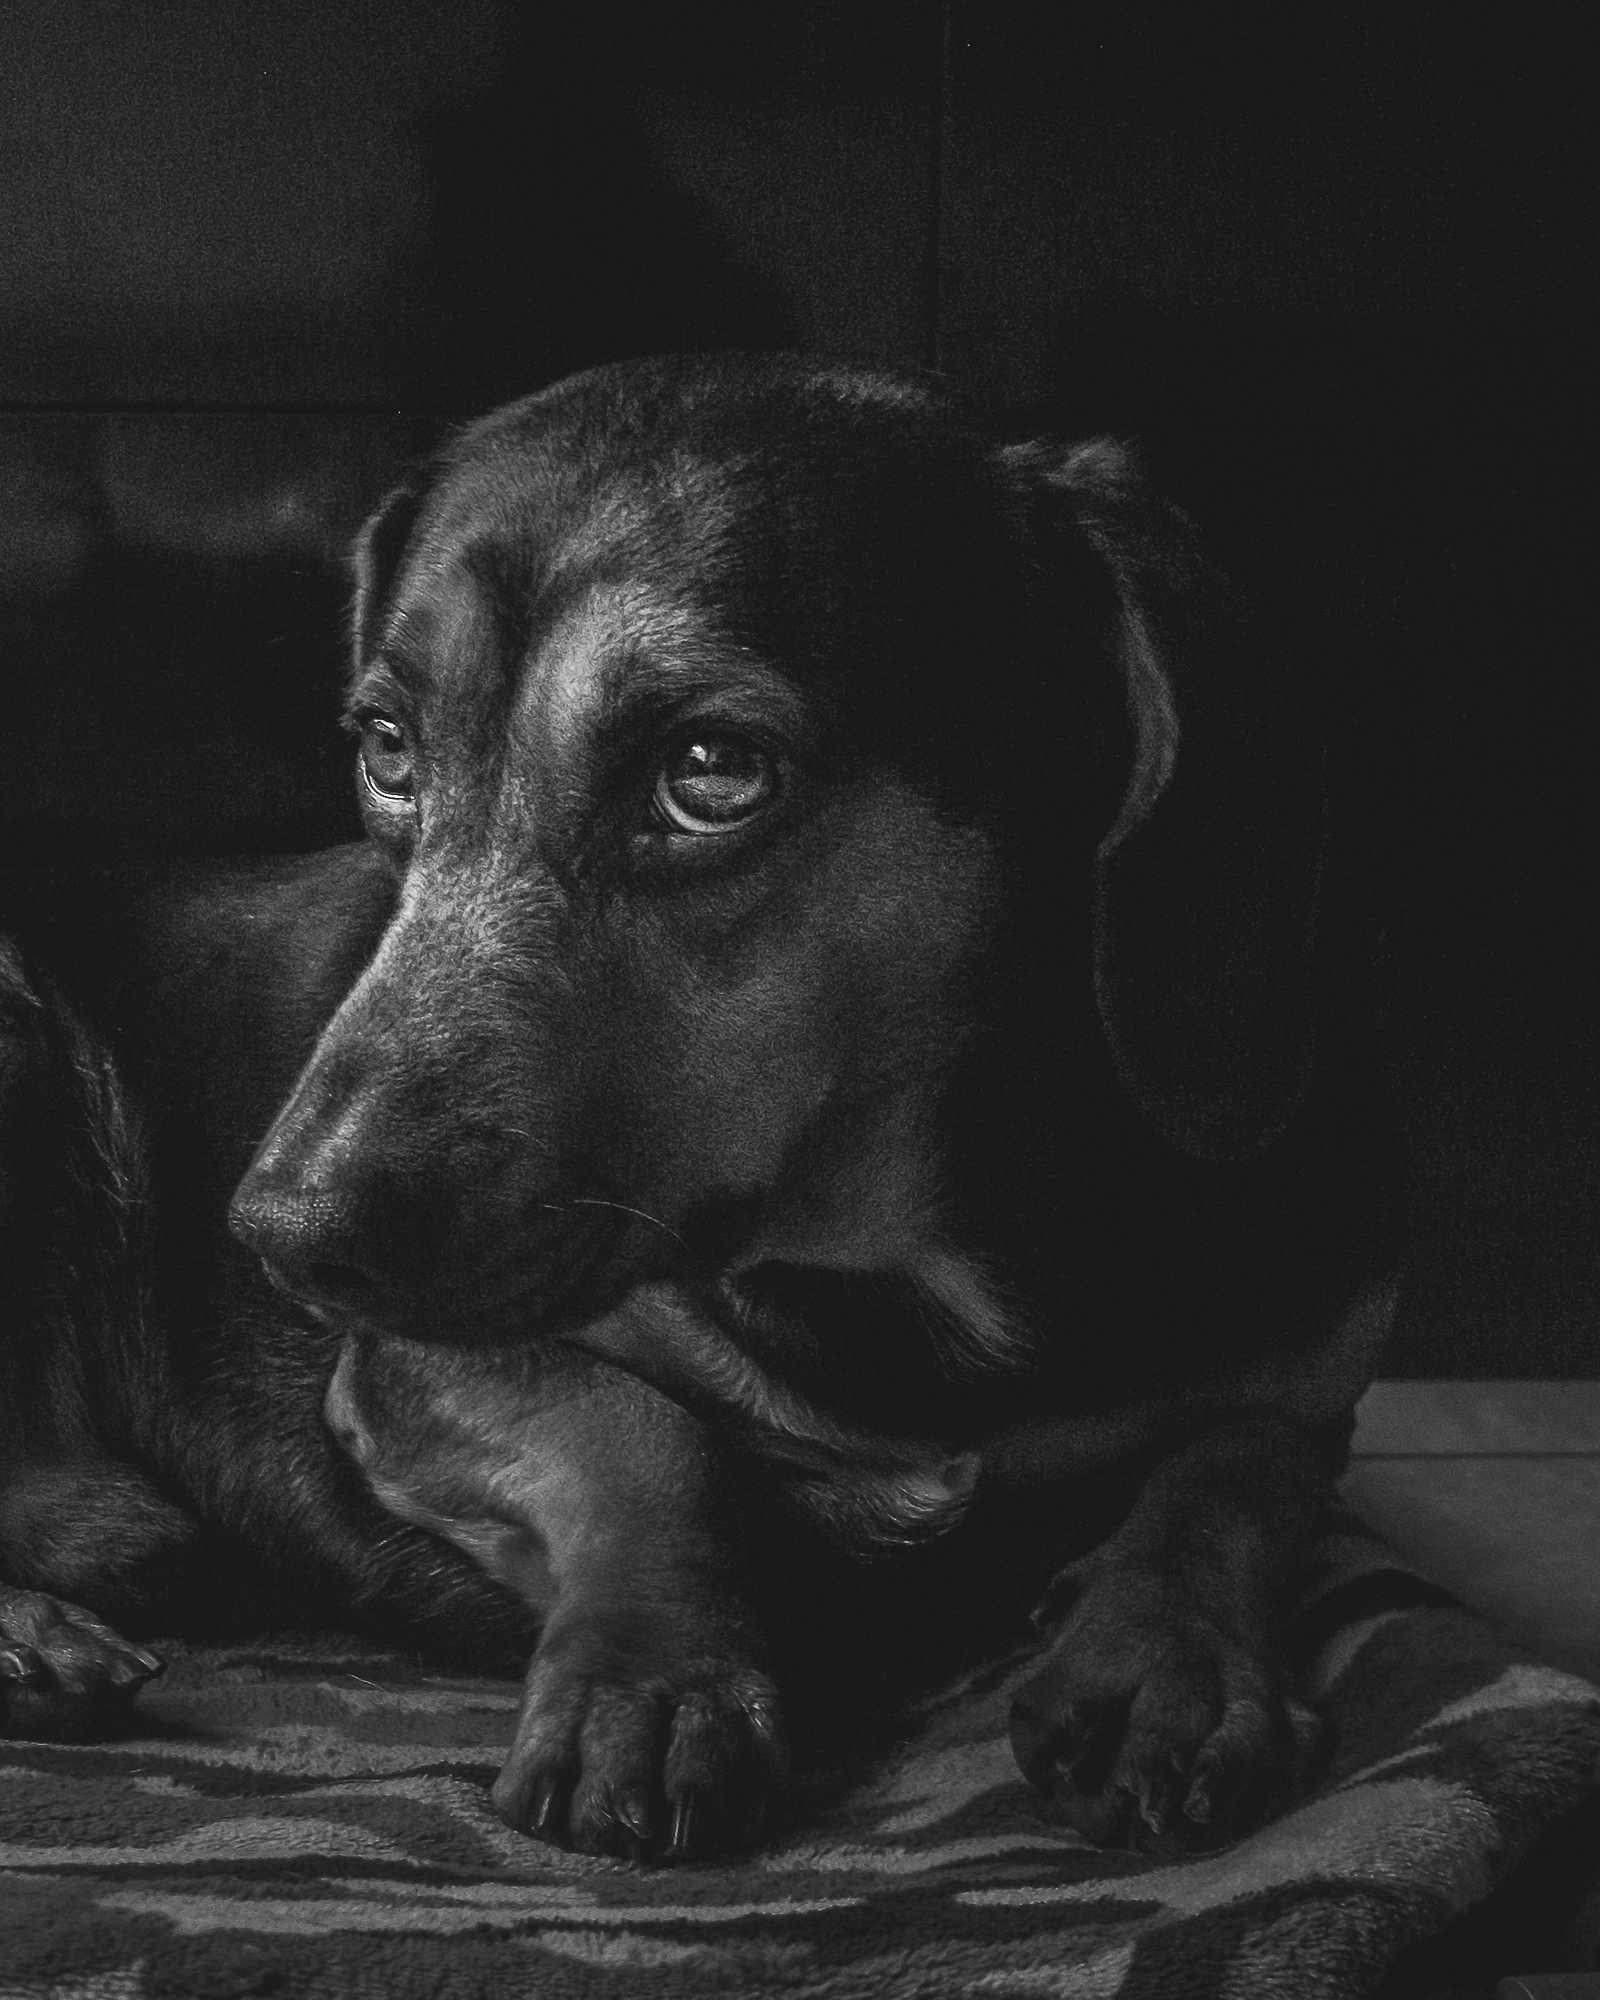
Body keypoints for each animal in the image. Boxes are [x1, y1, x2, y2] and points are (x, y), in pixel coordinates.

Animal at [0, 353, 1396, 1861]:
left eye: (711, 768)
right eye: (388, 748)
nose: (283, 1231)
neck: (894, 1281)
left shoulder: (1310, 1373)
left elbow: (1237, 1463)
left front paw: (1169, 1662)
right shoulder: (410, 1362)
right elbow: (643, 1437)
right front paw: (656, 1681)